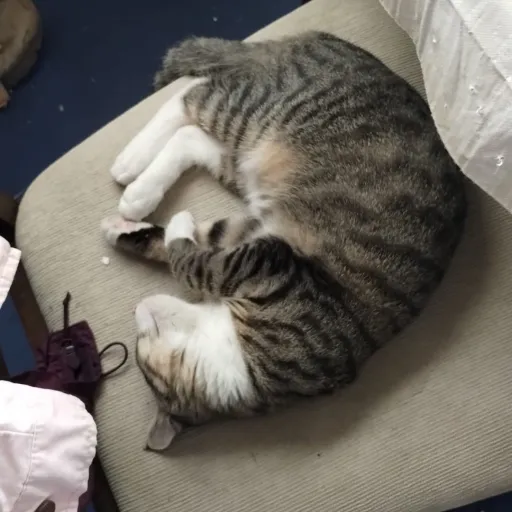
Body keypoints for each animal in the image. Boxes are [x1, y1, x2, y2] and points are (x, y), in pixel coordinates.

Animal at [101, 31, 466, 449]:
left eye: (142, 346)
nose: (138, 309)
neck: (248, 369)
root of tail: (316, 39)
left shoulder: (263, 253)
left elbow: (190, 254)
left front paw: (154, 226)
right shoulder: (258, 245)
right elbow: (192, 249)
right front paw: (127, 229)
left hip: (249, 143)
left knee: (193, 110)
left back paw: (136, 182)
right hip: (252, 133)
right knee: (195, 99)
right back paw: (134, 169)